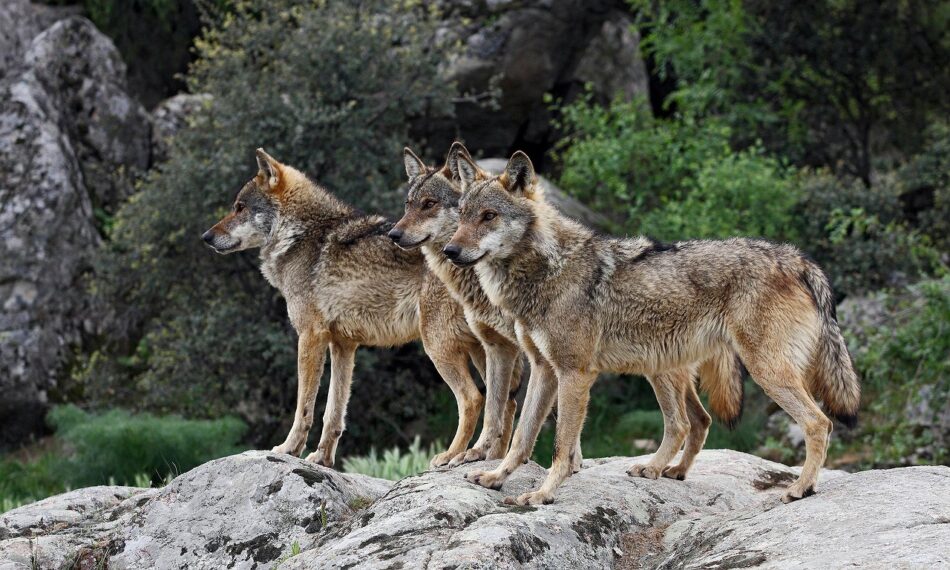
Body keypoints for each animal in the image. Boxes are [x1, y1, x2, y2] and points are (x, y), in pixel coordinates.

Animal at [205, 149, 494, 468]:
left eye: (240, 208)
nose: (206, 236)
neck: (301, 236)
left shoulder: (310, 337)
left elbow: (304, 407)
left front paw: (288, 449)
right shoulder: (343, 345)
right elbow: (334, 412)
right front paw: (322, 458)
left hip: (437, 346)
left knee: (473, 398)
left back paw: (452, 456)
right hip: (481, 350)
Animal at [390, 143, 748, 474]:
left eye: (429, 204)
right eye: (408, 205)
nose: (394, 233)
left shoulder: (553, 357)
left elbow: (547, 415)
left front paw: (566, 463)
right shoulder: (499, 348)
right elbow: (497, 407)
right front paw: (481, 455)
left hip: (657, 365)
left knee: (687, 420)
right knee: (702, 419)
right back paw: (675, 471)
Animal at [446, 150, 864, 502]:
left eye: (488, 216)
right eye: (462, 215)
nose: (450, 251)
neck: (547, 270)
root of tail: (796, 258)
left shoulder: (574, 373)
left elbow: (562, 446)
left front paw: (543, 494)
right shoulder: (544, 369)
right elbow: (522, 436)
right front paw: (495, 477)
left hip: (762, 372)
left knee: (818, 423)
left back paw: (801, 488)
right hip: (663, 367)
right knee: (689, 423)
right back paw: (666, 470)